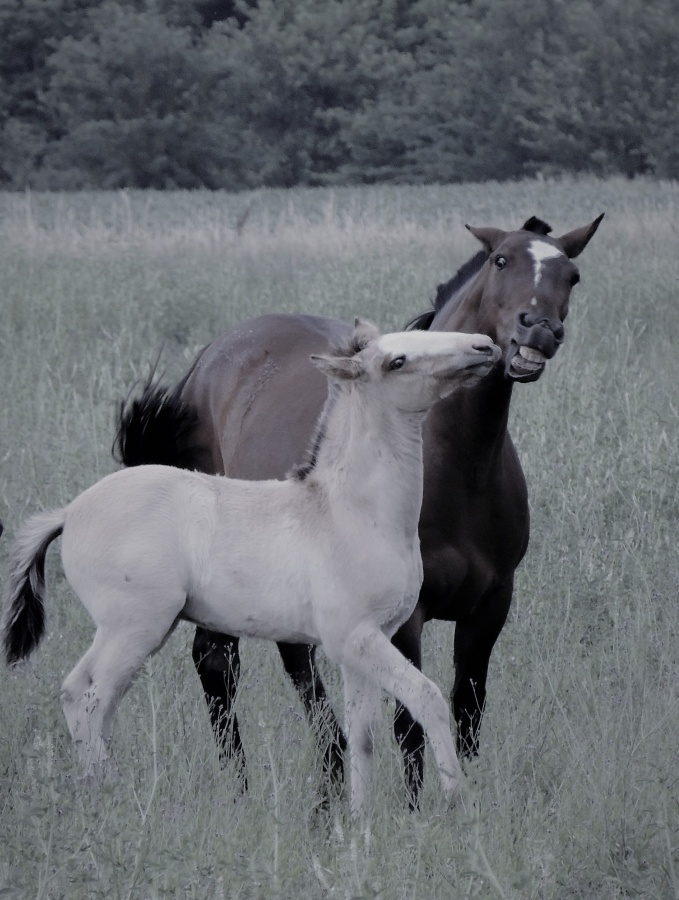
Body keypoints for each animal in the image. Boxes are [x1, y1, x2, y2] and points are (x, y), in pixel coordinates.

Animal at [1, 320, 500, 812]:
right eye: (397, 361)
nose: (484, 346)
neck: (350, 512)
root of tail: (69, 513)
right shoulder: (357, 637)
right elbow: (427, 697)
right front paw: (456, 800)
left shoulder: (360, 646)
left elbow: (363, 736)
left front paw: (359, 821)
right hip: (133, 628)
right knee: (89, 697)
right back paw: (107, 796)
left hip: (141, 631)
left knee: (88, 696)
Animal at [115, 213, 604, 800]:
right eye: (500, 260)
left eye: (572, 275)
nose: (539, 330)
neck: (457, 466)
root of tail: (207, 363)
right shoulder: (406, 614)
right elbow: (408, 722)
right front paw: (416, 809)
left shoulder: (491, 605)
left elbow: (468, 710)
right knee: (226, 663)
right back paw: (255, 785)